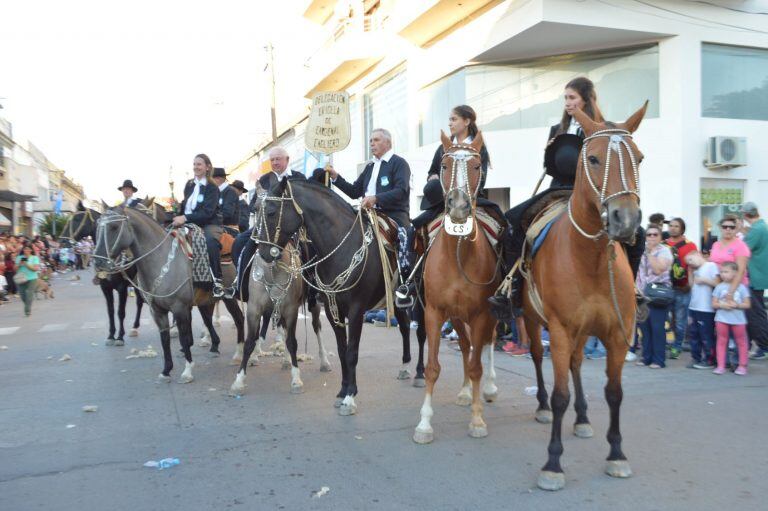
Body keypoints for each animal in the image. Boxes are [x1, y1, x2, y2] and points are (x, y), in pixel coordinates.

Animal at [61, 204, 144, 344]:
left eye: (77, 219)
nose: (62, 241)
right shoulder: (105, 288)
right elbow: (110, 311)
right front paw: (111, 335)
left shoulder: (122, 288)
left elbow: (120, 312)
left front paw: (120, 337)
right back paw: (135, 327)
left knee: (140, 301)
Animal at [94, 208, 243, 384]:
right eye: (97, 229)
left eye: (115, 227)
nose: (98, 262)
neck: (163, 260)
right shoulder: (158, 311)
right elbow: (164, 338)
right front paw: (166, 370)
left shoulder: (180, 308)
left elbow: (184, 338)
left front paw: (187, 371)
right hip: (208, 299)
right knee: (213, 319)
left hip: (230, 297)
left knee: (240, 320)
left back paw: (240, 355)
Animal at [258, 178, 426, 418]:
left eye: (271, 211)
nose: (263, 252)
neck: (342, 249)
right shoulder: (331, 309)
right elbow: (341, 350)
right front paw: (342, 391)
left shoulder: (356, 310)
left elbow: (352, 352)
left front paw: (350, 398)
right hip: (396, 301)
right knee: (404, 327)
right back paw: (404, 367)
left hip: (421, 297)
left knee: (420, 333)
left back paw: (420, 373)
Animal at [412, 133, 500, 448]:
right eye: (444, 165)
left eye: (476, 166)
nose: (459, 206)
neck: (458, 254)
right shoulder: (435, 312)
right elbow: (432, 367)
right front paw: (424, 424)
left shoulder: (482, 312)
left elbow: (476, 365)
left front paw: (477, 420)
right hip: (457, 316)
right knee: (465, 345)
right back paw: (464, 392)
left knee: (487, 344)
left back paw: (489, 388)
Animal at [520, 104, 648, 492]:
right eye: (592, 158)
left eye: (639, 158)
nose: (626, 220)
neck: (589, 259)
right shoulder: (560, 331)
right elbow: (560, 394)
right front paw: (553, 463)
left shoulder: (617, 334)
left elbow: (614, 392)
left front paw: (617, 454)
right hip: (532, 319)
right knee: (537, 355)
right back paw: (542, 407)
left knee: (576, 363)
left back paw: (582, 418)